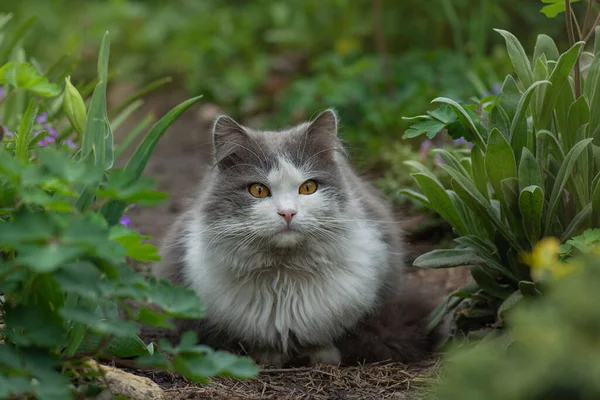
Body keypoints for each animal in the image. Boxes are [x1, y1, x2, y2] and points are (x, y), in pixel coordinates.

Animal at [152, 109, 442, 366]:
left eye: (308, 187)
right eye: (258, 190)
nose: (288, 212)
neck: (284, 277)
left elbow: (324, 340)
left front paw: (323, 357)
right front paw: (269, 357)